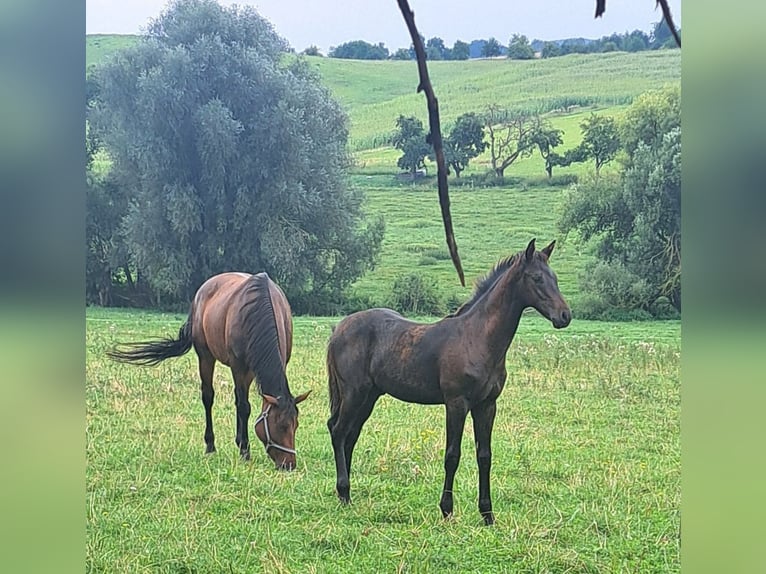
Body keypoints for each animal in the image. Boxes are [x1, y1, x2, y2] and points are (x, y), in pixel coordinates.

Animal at [108, 272, 311, 470]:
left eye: (296, 425)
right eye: (280, 426)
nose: (289, 465)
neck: (259, 308)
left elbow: (241, 403)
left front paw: (242, 444)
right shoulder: (238, 366)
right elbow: (244, 406)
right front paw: (245, 452)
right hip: (206, 357)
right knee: (208, 397)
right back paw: (210, 445)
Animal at [326, 239, 571, 524]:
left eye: (555, 278)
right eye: (537, 278)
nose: (564, 316)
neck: (477, 338)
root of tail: (339, 328)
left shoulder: (487, 405)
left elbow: (484, 455)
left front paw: (487, 514)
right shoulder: (456, 403)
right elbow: (452, 455)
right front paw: (447, 510)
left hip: (369, 397)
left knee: (350, 435)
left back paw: (345, 494)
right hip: (353, 393)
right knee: (338, 430)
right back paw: (344, 492)